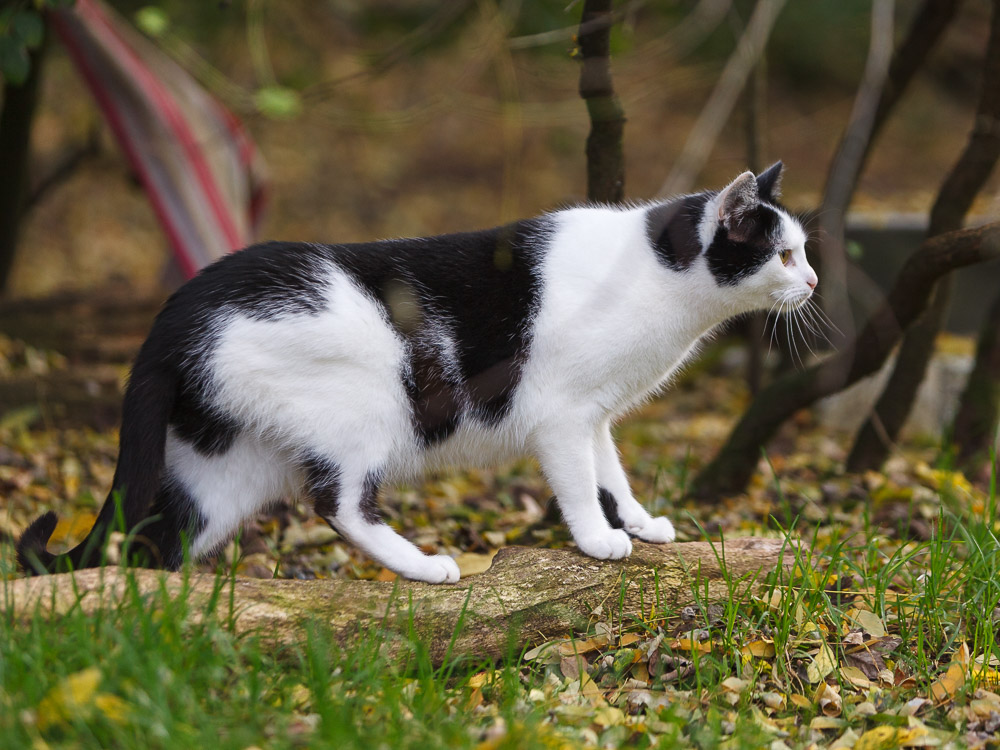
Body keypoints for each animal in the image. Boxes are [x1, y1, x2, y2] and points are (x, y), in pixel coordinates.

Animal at [15, 162, 816, 584]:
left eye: (803, 250)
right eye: (782, 254)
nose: (812, 281)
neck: (661, 278)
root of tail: (177, 310)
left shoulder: (596, 414)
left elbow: (610, 472)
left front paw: (642, 524)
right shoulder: (560, 414)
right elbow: (579, 484)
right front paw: (598, 540)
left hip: (219, 469)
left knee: (151, 537)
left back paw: (160, 600)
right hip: (363, 405)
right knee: (338, 502)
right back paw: (427, 567)